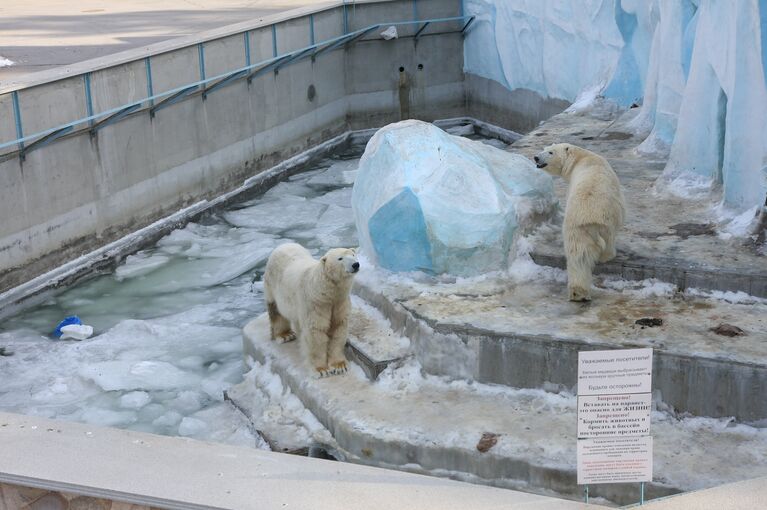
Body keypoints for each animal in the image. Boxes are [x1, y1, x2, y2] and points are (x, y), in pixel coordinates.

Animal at [264, 241, 360, 376]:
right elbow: (315, 332)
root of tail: (284, 244)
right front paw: (321, 370)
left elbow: (338, 327)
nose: (355, 264)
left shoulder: (339, 302)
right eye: (340, 258)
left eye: (353, 254)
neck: (324, 292)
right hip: (272, 284)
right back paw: (285, 335)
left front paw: (339, 366)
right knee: (276, 311)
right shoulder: (315, 303)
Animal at [536, 143, 624, 300]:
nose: (536, 157)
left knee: (578, 257)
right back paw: (606, 257)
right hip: (605, 222)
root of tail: (591, 218)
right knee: (603, 243)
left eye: (550, 152)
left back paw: (578, 292)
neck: (581, 157)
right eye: (544, 149)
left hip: (577, 228)